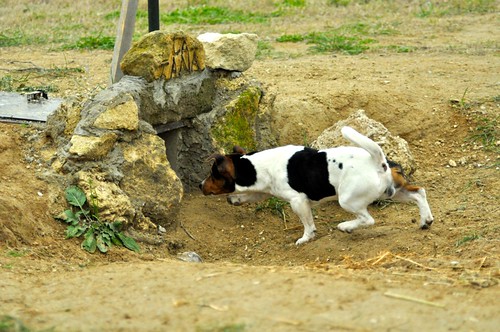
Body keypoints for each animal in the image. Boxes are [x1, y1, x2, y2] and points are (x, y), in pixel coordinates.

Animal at [199, 126, 434, 245]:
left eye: (212, 175)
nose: (200, 185)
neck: (258, 165)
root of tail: (380, 162)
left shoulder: (298, 201)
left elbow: (308, 224)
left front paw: (305, 238)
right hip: (393, 192)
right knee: (419, 193)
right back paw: (426, 220)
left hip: (348, 201)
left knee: (368, 219)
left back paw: (346, 227)